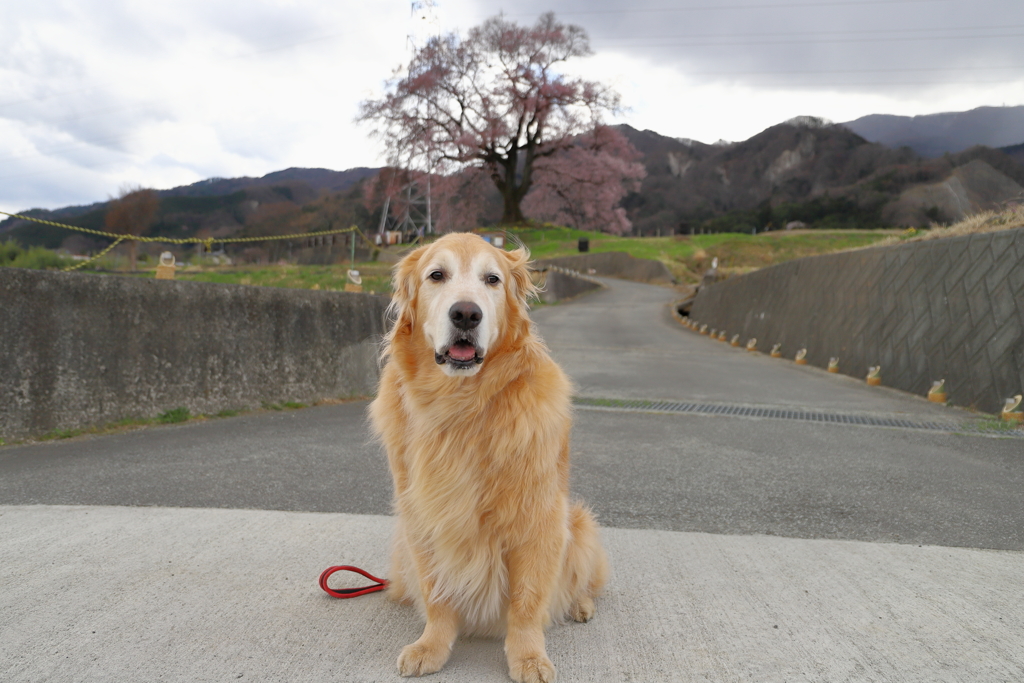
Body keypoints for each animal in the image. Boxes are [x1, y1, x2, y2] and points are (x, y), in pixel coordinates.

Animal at [368, 232, 606, 679]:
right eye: (436, 275)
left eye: (492, 279)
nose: (466, 314)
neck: (462, 405)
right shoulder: (422, 516)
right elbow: (437, 593)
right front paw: (432, 645)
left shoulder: (538, 518)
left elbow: (529, 600)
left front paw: (528, 656)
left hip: (580, 524)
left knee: (579, 582)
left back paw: (580, 605)